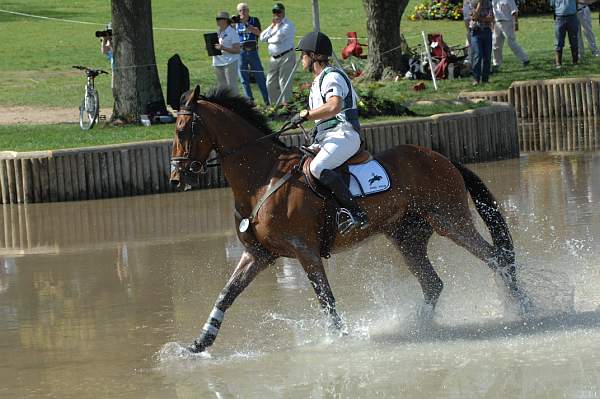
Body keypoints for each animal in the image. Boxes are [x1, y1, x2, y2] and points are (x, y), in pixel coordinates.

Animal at [170, 86, 528, 354]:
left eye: (182, 130)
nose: (176, 177)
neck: (262, 178)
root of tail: (443, 158)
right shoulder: (259, 254)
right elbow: (226, 294)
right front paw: (199, 344)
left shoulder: (305, 252)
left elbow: (326, 300)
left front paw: (338, 340)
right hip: (407, 237)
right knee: (433, 283)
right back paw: (416, 326)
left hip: (450, 221)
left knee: (496, 257)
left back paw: (519, 309)